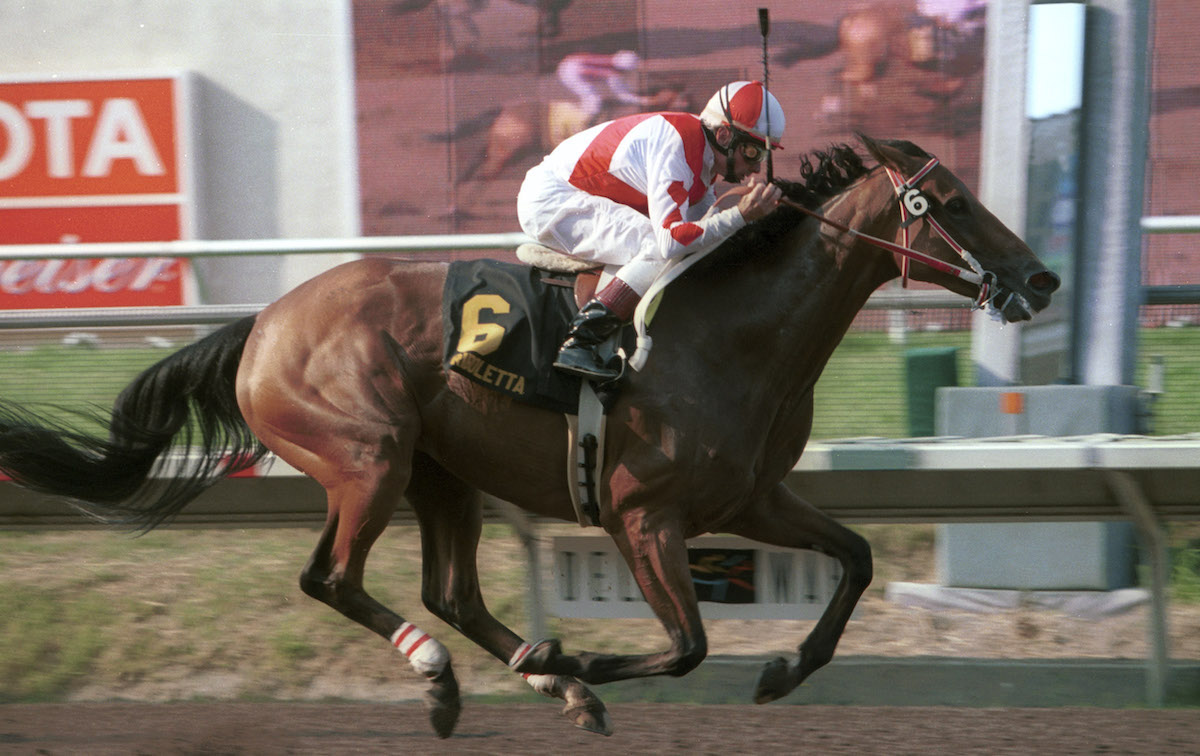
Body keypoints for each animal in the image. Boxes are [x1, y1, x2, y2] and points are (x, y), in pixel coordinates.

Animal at [0, 136, 1056, 739]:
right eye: (952, 203)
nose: (1040, 279)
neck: (737, 332)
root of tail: (261, 324)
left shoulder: (751, 497)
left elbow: (858, 557)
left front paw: (781, 669)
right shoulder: (642, 514)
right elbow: (686, 645)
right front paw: (580, 659)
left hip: (441, 473)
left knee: (452, 592)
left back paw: (537, 682)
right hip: (368, 458)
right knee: (331, 578)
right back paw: (457, 679)